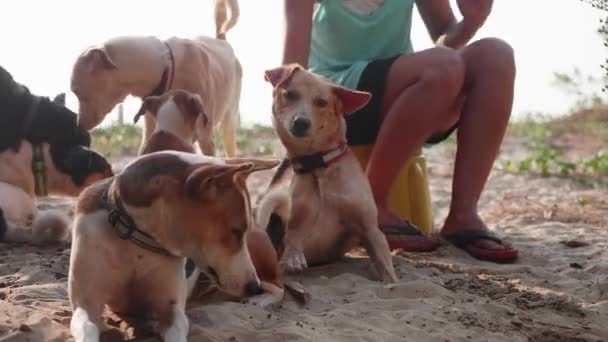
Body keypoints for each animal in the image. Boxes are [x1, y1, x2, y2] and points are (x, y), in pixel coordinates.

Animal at [70, 0, 240, 158]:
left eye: (76, 91)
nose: (79, 126)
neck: (167, 67)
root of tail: (220, 39)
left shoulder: (205, 138)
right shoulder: (150, 130)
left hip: (228, 123)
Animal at [256, 64, 400, 284]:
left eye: (322, 102)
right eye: (290, 95)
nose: (301, 122)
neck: (318, 164)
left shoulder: (370, 229)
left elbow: (386, 268)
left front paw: (390, 279)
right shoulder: (296, 221)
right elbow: (292, 237)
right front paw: (293, 258)